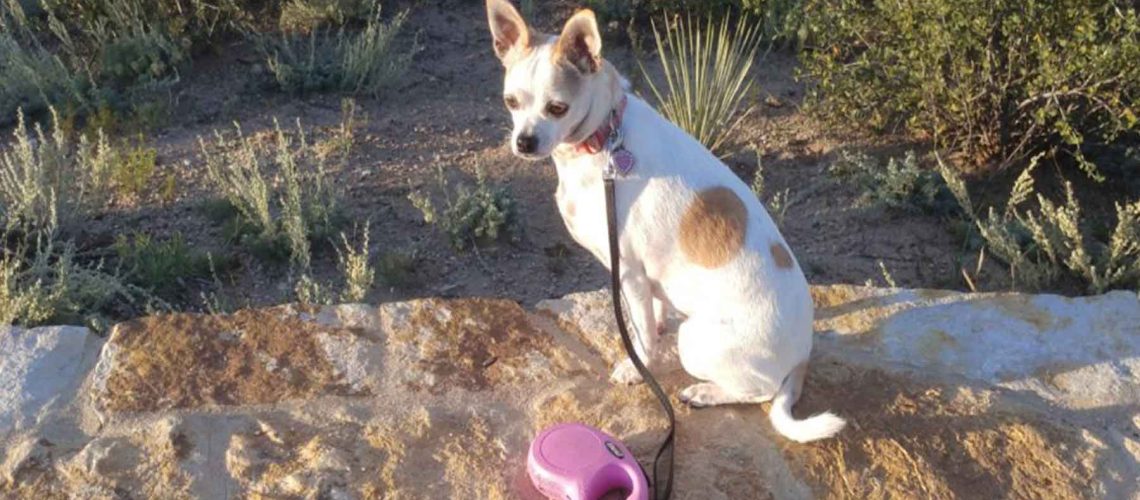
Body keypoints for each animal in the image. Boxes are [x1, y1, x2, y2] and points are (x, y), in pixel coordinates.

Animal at [485, 0, 843, 441]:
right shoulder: (646, 278)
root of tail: (802, 356)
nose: (524, 141)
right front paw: (654, 330)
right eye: (511, 102)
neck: (604, 138)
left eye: (557, 108)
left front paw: (639, 365)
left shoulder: (629, 272)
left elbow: (638, 330)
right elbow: (651, 313)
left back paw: (706, 392)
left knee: (759, 390)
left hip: (697, 342)